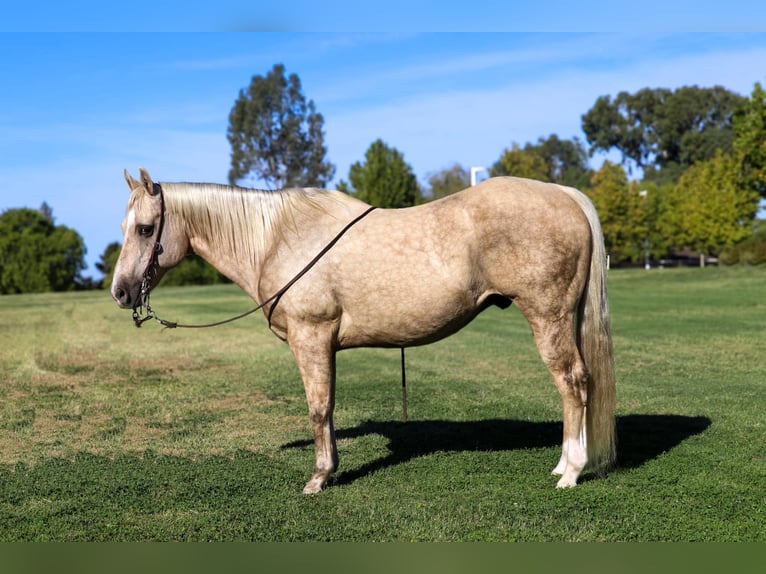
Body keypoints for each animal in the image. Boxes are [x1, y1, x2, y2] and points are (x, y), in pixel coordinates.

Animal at [111, 168, 616, 493]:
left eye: (145, 229)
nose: (120, 291)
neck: (277, 238)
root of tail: (565, 195)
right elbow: (329, 408)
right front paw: (329, 468)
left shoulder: (311, 337)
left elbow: (318, 408)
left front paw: (319, 478)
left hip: (547, 317)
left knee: (572, 382)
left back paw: (571, 471)